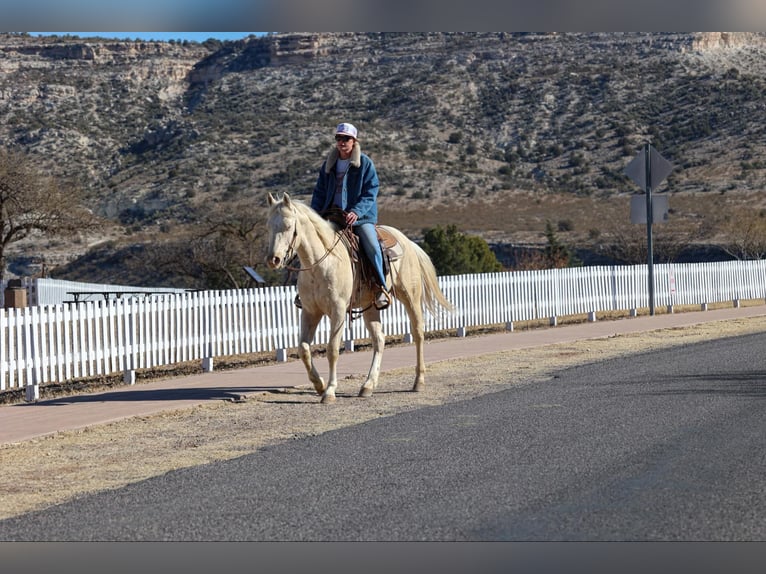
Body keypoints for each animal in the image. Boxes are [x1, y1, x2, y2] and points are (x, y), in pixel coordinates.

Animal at [268, 194, 452, 404]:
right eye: (269, 226)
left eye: (288, 226)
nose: (273, 259)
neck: (322, 263)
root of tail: (408, 242)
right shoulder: (310, 312)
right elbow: (303, 349)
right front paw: (319, 384)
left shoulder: (338, 311)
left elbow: (332, 349)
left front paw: (329, 391)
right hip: (370, 307)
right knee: (379, 340)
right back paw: (368, 385)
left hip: (410, 297)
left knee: (418, 333)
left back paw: (418, 381)